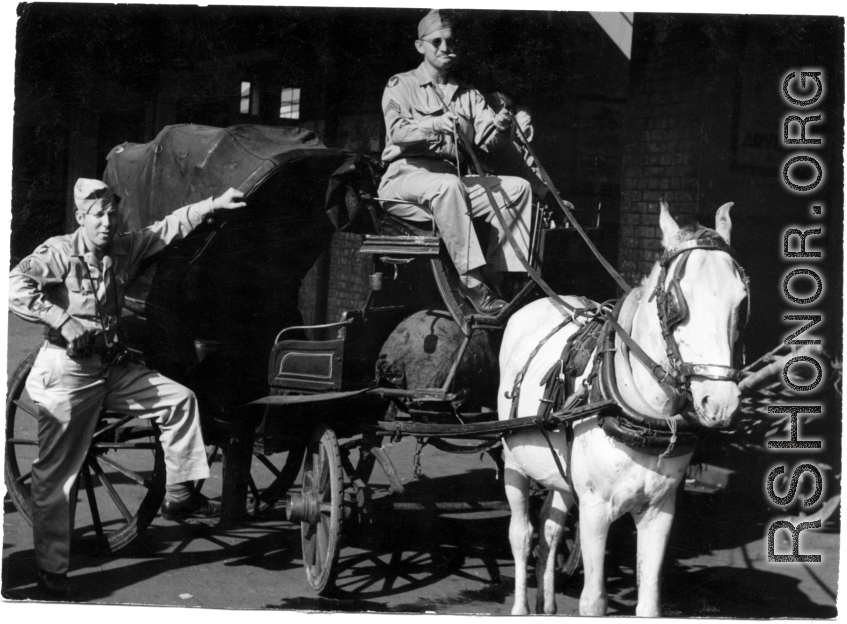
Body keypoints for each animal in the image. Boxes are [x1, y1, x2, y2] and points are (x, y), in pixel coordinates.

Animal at [496, 202, 748, 616]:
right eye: (675, 301)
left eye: (741, 299)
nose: (721, 402)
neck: (646, 414)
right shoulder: (596, 510)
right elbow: (593, 600)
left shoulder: (660, 510)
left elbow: (648, 602)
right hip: (514, 464)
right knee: (521, 534)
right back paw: (520, 606)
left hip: (560, 475)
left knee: (549, 530)